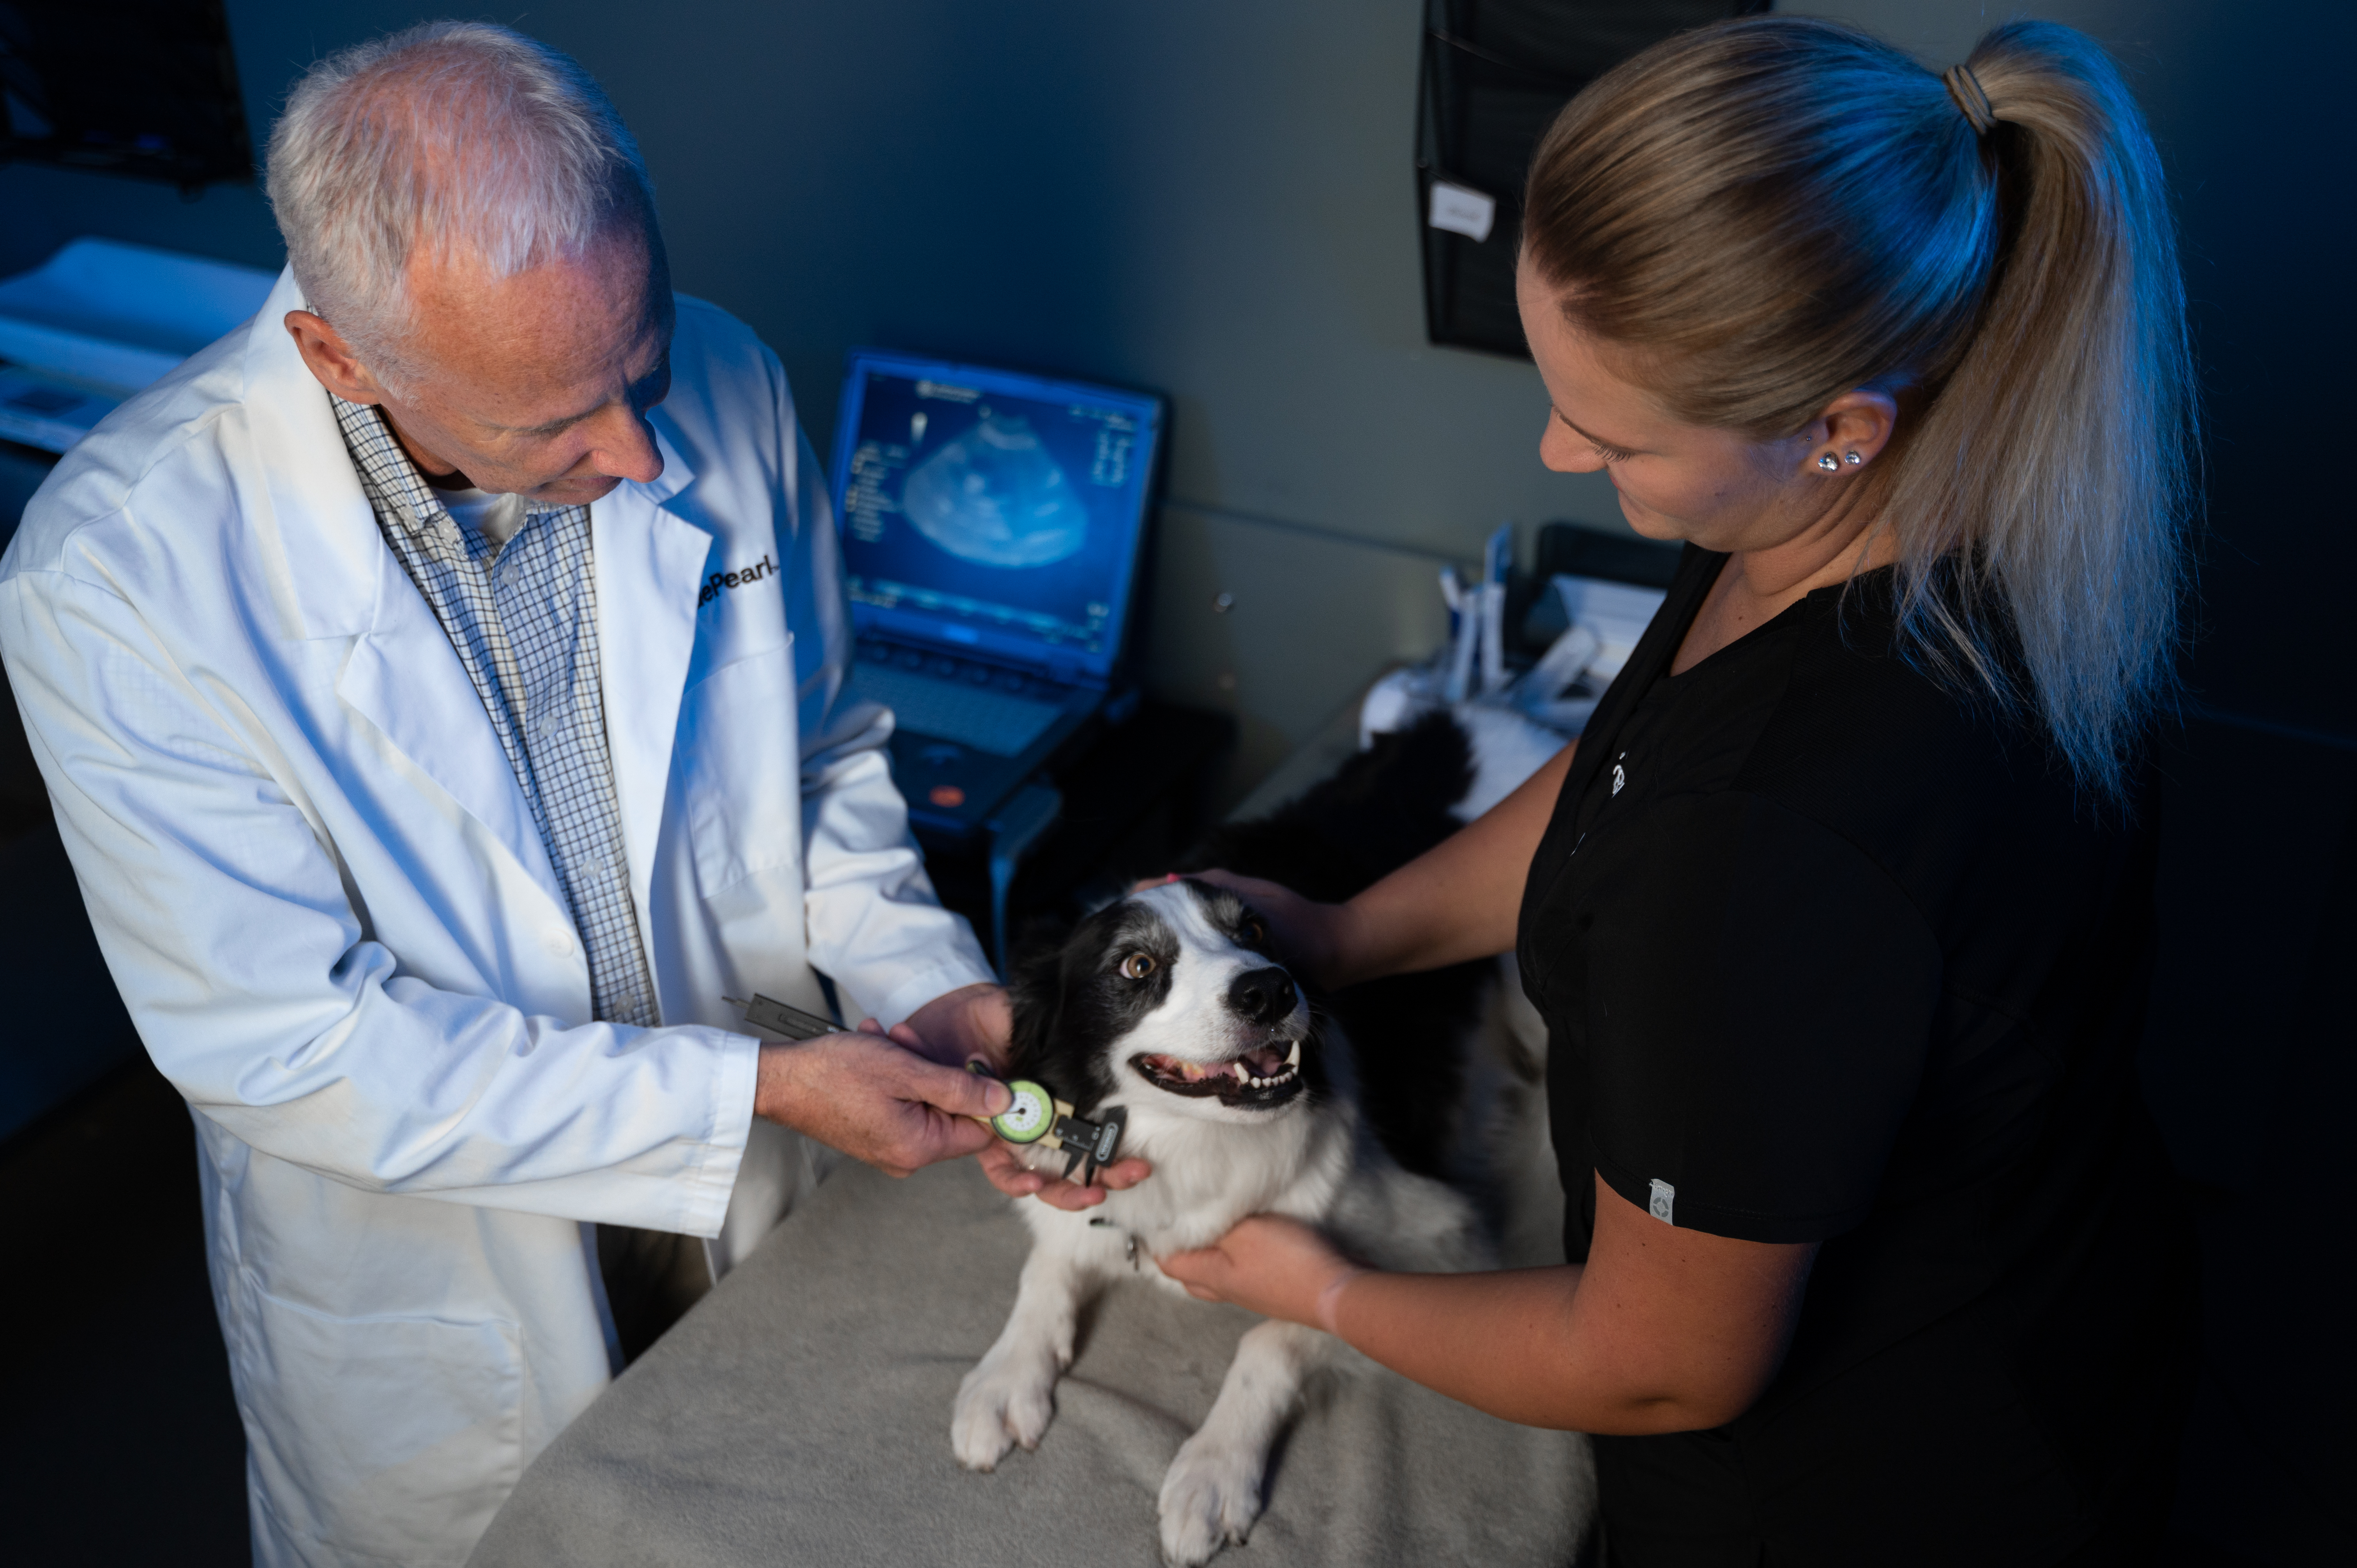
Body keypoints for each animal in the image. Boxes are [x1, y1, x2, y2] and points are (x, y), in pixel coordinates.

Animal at [947, 717, 1555, 1556]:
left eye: (1257, 928)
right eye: (1136, 964)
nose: (1269, 987)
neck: (1191, 1145)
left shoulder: (1434, 1241)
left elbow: (1274, 1335)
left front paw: (1212, 1470)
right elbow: (1049, 1258)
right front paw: (1007, 1373)